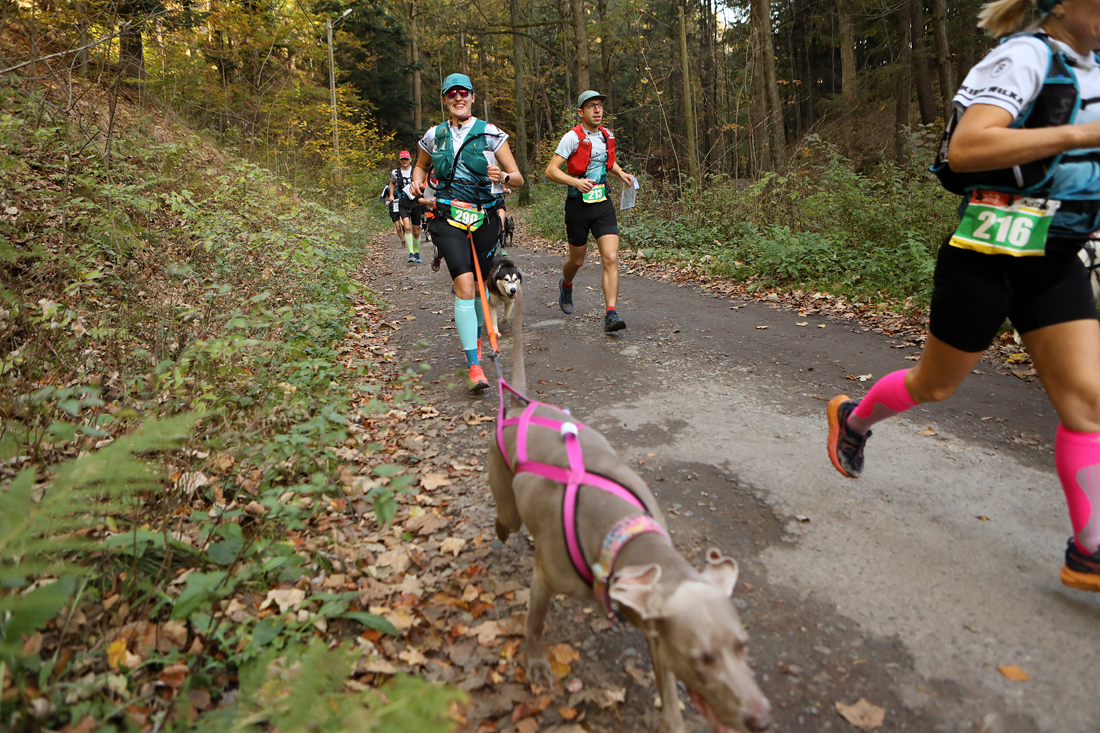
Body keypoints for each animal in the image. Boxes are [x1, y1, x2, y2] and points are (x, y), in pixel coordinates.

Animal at [488, 287, 773, 733]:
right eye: (702, 659)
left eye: (743, 646)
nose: (761, 718)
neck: (621, 534)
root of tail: (521, 407)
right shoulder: (546, 580)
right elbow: (534, 625)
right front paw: (535, 664)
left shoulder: (655, 628)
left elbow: (668, 692)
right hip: (504, 489)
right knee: (506, 519)